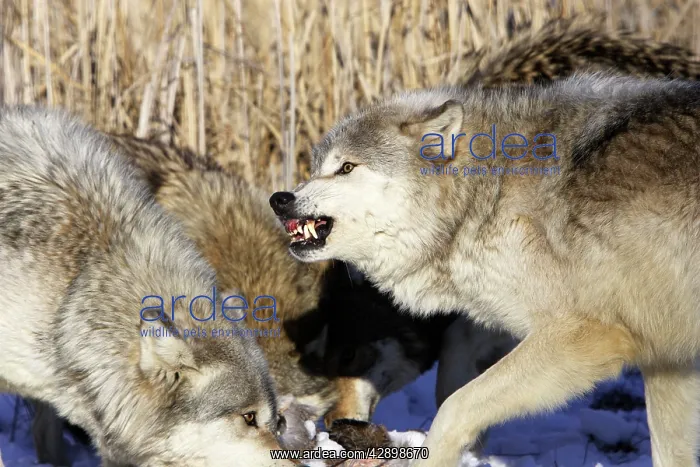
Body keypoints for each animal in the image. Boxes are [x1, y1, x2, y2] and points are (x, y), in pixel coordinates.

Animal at [270, 73, 700, 466]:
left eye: (346, 167)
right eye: (316, 168)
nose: (280, 199)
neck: (489, 192)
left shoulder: (585, 336)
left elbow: (455, 407)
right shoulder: (668, 357)